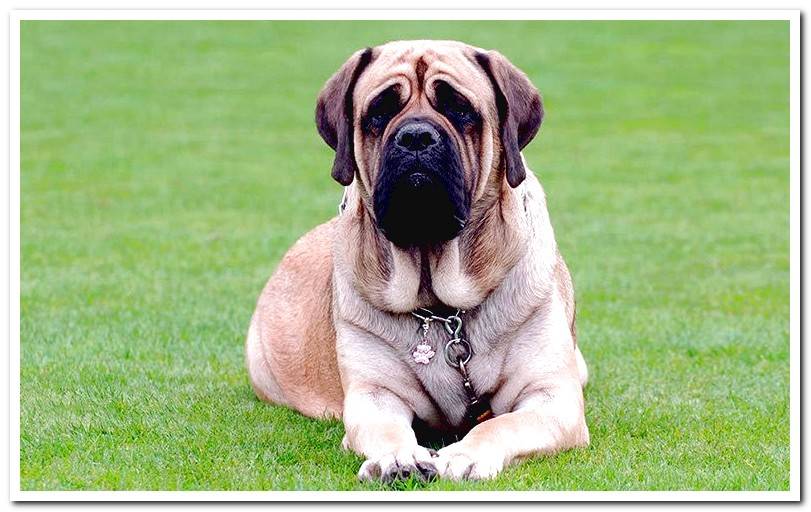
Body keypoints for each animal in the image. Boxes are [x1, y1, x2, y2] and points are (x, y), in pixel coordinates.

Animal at [243, 39, 588, 480]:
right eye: (379, 112)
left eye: (460, 108)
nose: (417, 136)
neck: (441, 309)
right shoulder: (374, 396)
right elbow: (387, 429)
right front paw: (399, 457)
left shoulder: (552, 398)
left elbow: (501, 424)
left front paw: (467, 453)